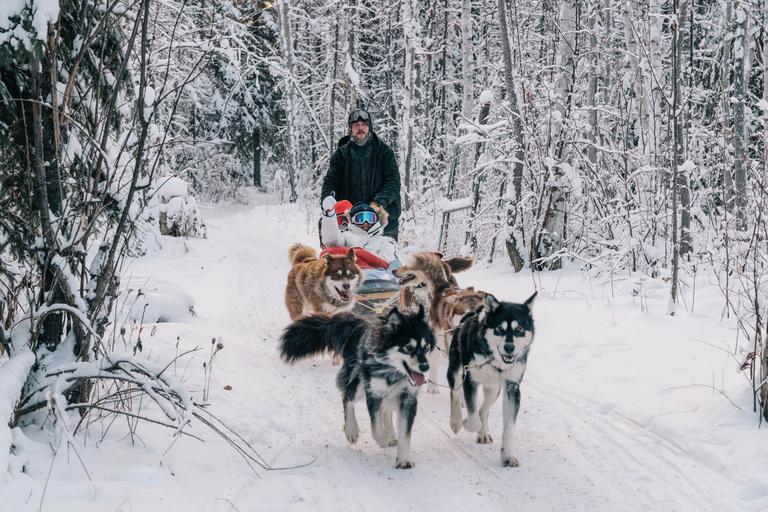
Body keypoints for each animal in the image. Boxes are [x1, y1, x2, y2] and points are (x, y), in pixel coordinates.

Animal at [280, 306, 438, 470]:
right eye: (408, 347)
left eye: (426, 347)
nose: (425, 367)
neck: (393, 370)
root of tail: (358, 323)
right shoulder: (373, 392)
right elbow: (376, 427)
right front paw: (383, 439)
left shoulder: (408, 399)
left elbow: (405, 434)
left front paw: (404, 459)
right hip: (358, 383)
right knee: (347, 399)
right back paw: (352, 430)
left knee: (386, 410)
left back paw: (391, 433)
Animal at [448, 290, 536, 466]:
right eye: (499, 328)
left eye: (519, 329)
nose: (509, 347)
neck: (494, 359)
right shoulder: (470, 381)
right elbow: (473, 418)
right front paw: (466, 422)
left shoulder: (512, 387)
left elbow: (508, 427)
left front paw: (507, 455)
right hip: (455, 371)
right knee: (455, 393)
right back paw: (456, 421)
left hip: (493, 390)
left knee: (483, 409)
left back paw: (483, 433)